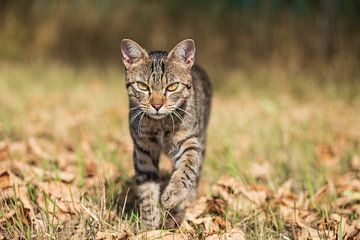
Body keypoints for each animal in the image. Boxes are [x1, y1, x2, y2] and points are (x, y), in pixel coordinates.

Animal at [121, 38, 211, 229]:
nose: (156, 105)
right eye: (142, 86)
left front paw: (174, 195)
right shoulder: (143, 151)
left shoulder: (189, 141)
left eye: (172, 87)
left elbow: (186, 168)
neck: (160, 124)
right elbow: (147, 190)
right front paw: (149, 226)